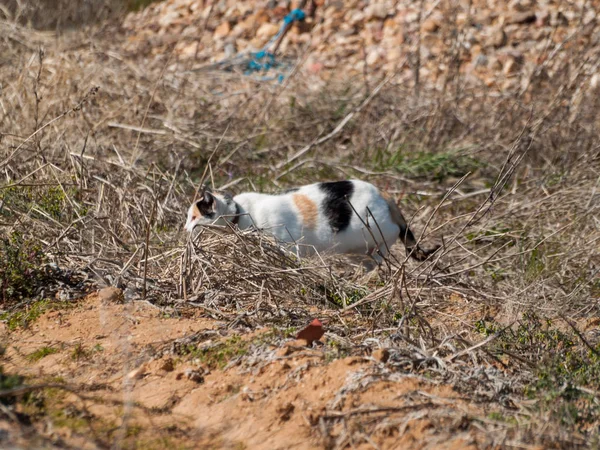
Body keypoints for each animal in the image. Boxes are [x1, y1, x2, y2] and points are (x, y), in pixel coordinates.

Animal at [185, 180, 438, 264]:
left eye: (194, 217)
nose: (185, 229)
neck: (241, 212)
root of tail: (385, 195)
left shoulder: (287, 246)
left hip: (378, 235)